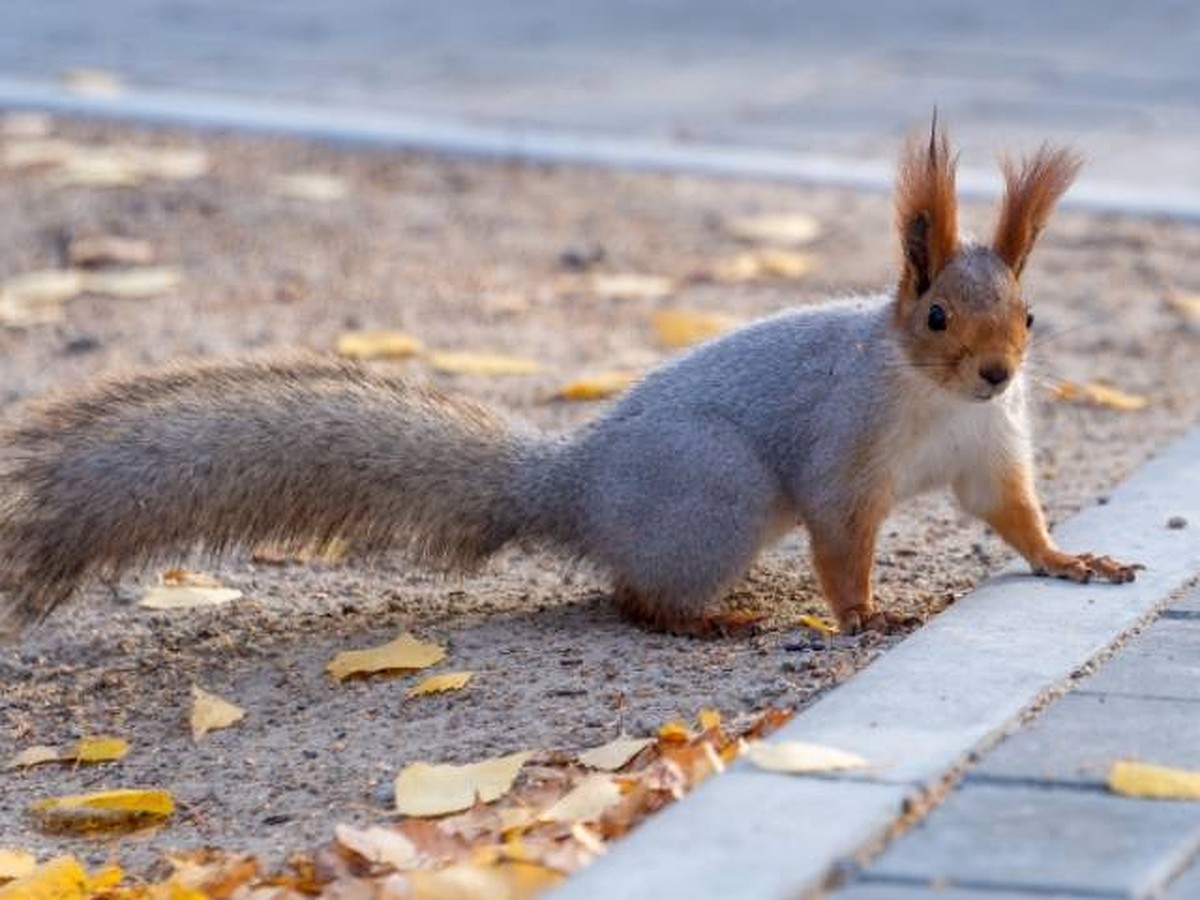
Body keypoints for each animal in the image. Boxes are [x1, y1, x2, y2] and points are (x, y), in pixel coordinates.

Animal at [0, 123, 1132, 638]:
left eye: (1030, 316)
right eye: (935, 317)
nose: (997, 371)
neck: (937, 401)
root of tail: (573, 488)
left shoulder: (989, 448)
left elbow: (1014, 516)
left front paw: (1071, 560)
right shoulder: (845, 449)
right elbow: (843, 539)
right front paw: (862, 616)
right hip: (715, 493)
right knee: (633, 597)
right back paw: (708, 620)